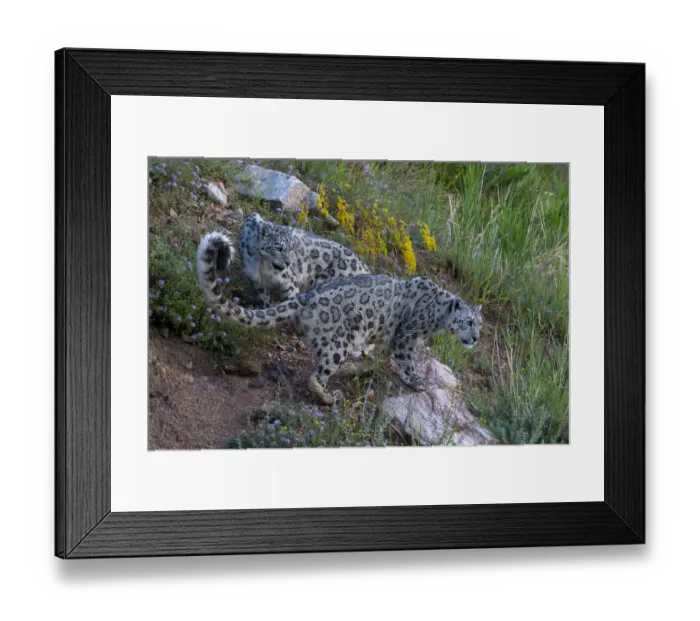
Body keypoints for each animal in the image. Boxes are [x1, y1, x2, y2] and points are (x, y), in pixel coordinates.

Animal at [197, 231, 484, 406]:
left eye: (479, 325)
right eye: (468, 322)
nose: (475, 338)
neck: (438, 320)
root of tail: (306, 296)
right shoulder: (407, 337)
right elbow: (406, 362)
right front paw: (418, 382)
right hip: (337, 344)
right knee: (316, 376)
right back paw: (329, 397)